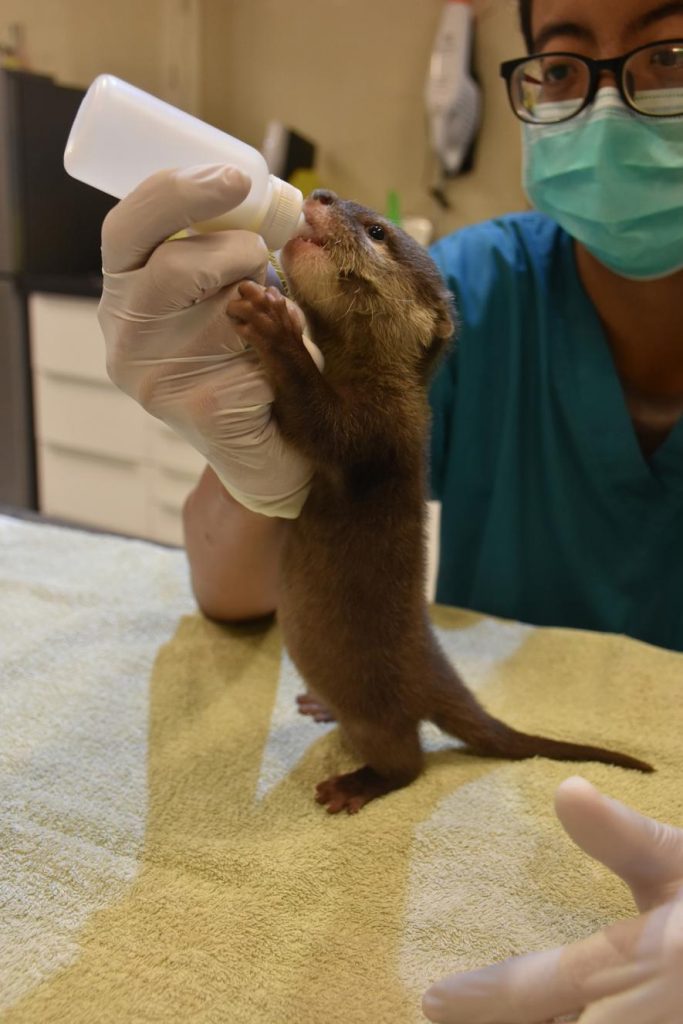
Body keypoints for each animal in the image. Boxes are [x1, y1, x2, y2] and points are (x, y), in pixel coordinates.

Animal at [228, 190, 651, 815]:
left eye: (377, 231)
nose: (322, 195)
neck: (379, 380)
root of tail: (432, 671)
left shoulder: (381, 432)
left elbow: (317, 420)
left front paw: (275, 325)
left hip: (378, 712)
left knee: (411, 763)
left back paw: (353, 786)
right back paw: (321, 706)